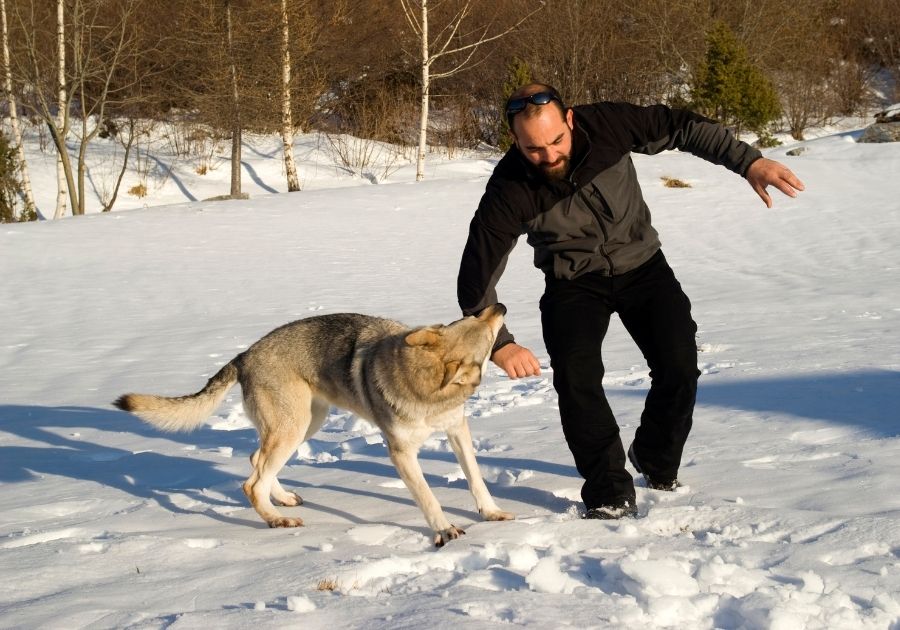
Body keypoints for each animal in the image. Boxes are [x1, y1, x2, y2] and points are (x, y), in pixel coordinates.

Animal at [114, 306, 512, 548]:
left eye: (470, 318)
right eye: (480, 326)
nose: (500, 306)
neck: (424, 387)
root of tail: (244, 355)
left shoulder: (457, 430)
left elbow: (476, 479)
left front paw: (492, 513)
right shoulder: (401, 453)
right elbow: (428, 497)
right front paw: (444, 530)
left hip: (305, 425)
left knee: (255, 461)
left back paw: (283, 500)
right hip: (293, 428)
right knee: (251, 482)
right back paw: (277, 520)